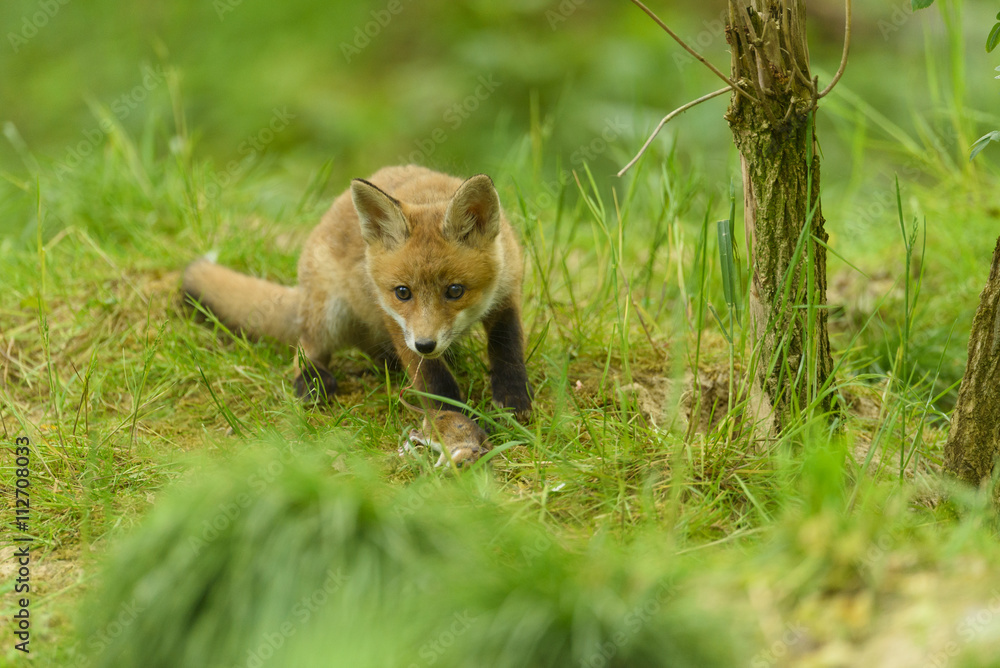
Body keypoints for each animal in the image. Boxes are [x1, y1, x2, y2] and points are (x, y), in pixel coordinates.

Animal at [182, 165, 532, 421]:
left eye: (455, 291)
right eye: (402, 293)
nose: (425, 344)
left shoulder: (507, 293)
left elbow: (508, 350)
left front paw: (514, 402)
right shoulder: (392, 317)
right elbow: (433, 378)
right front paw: (455, 421)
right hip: (329, 315)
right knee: (305, 349)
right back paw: (312, 382)